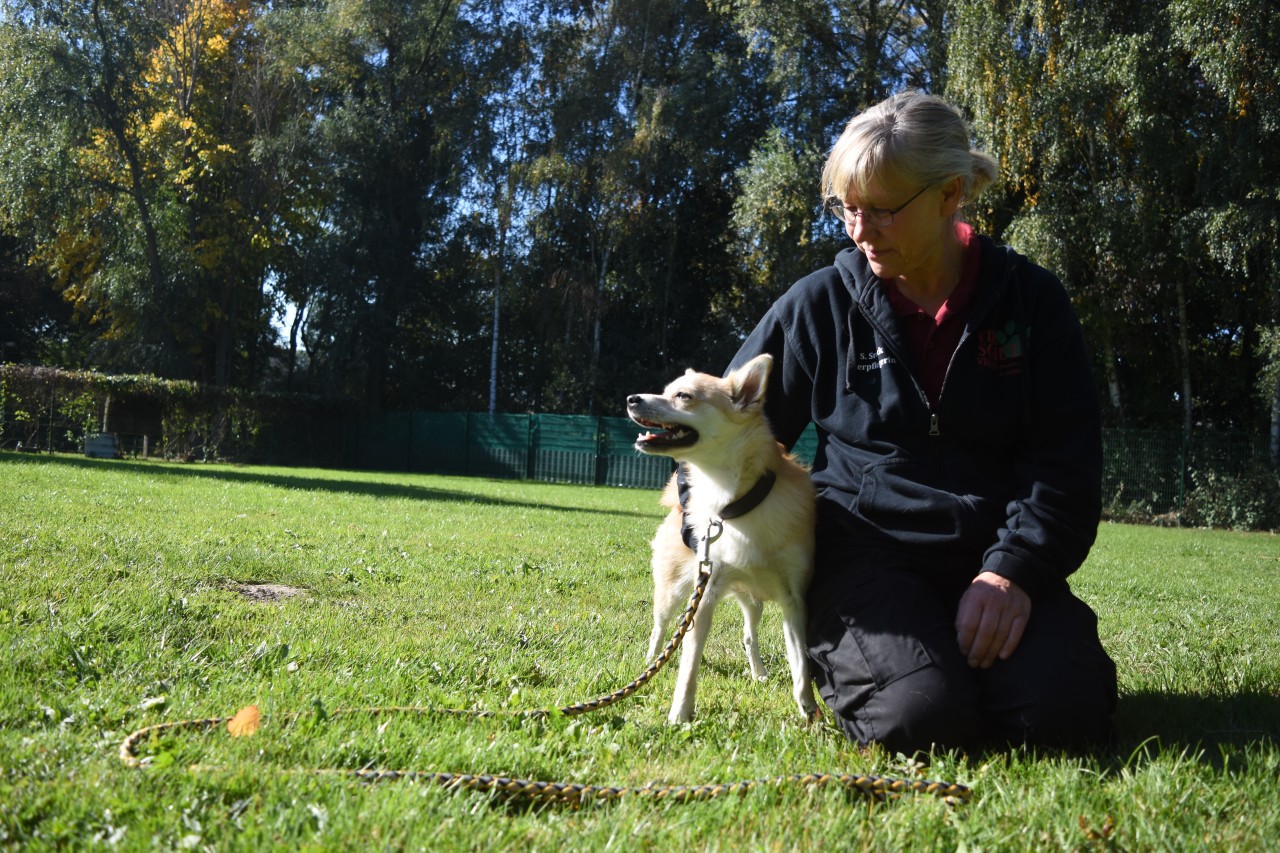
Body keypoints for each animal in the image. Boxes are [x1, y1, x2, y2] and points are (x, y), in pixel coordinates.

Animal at [627, 350, 819, 717]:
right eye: (666, 390)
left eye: (683, 396)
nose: (631, 398)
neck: (733, 501)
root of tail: (678, 507)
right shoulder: (705, 594)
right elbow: (689, 663)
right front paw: (680, 714)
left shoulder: (794, 600)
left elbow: (800, 662)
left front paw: (808, 711)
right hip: (674, 590)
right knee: (660, 628)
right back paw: (649, 663)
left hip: (753, 602)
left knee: (749, 636)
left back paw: (759, 673)